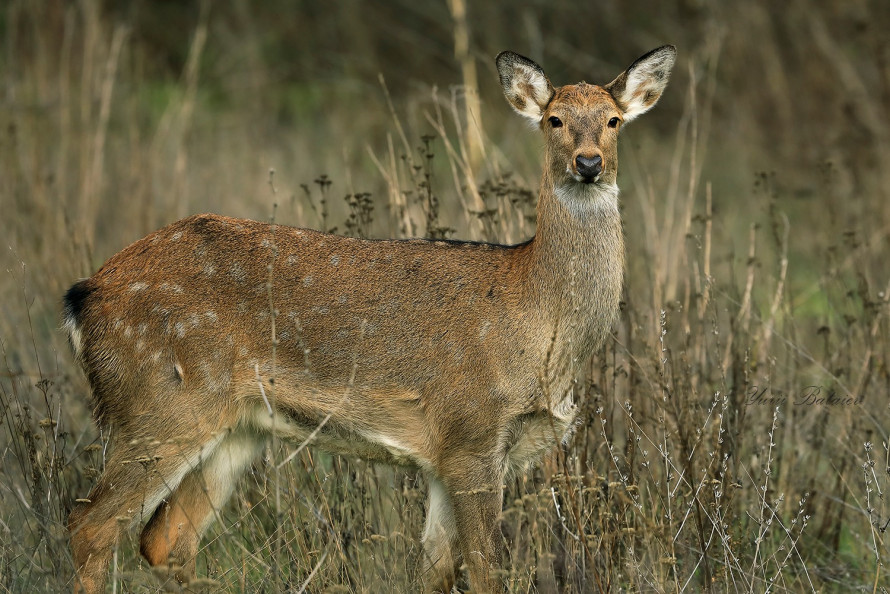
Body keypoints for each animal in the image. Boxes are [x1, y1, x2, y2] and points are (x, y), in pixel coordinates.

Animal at [64, 44, 672, 588]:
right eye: (554, 119)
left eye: (614, 120)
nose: (588, 163)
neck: (544, 329)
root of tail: (84, 296)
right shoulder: (471, 434)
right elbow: (485, 573)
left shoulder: (444, 459)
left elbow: (433, 575)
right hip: (159, 401)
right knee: (89, 524)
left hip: (236, 426)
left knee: (165, 538)